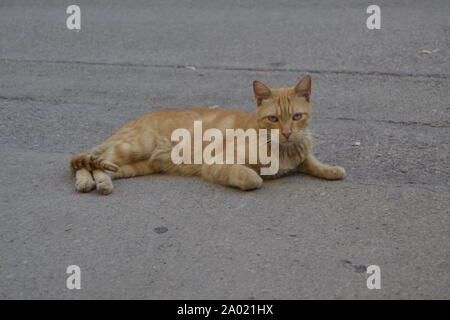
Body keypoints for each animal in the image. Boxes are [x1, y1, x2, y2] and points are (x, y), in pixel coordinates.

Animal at [69, 76, 344, 194]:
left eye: (297, 117)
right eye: (273, 119)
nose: (287, 133)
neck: (282, 149)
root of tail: (134, 120)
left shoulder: (301, 151)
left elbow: (312, 162)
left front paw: (331, 170)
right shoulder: (216, 163)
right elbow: (252, 178)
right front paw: (255, 177)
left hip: (135, 166)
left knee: (96, 164)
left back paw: (99, 182)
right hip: (132, 147)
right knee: (85, 163)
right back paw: (89, 182)